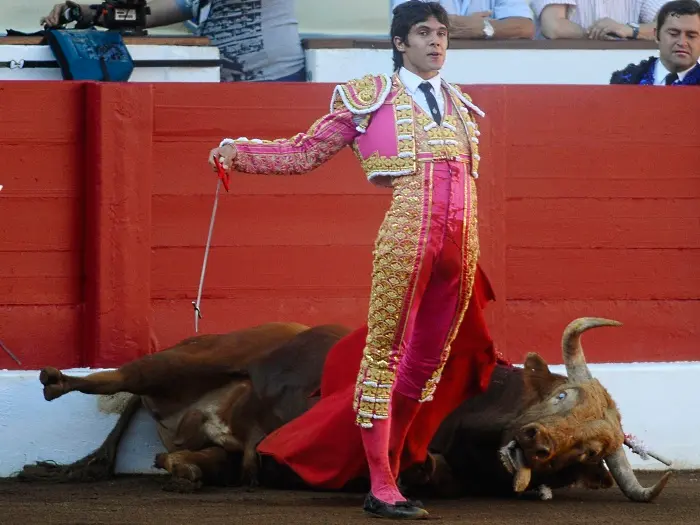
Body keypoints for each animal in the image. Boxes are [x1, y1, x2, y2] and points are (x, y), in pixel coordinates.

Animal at [19, 318, 668, 502]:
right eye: (561, 396)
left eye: (587, 450)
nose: (537, 441)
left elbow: (429, 469)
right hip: (197, 356)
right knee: (124, 377)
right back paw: (52, 380)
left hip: (217, 447)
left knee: (197, 459)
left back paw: (178, 472)